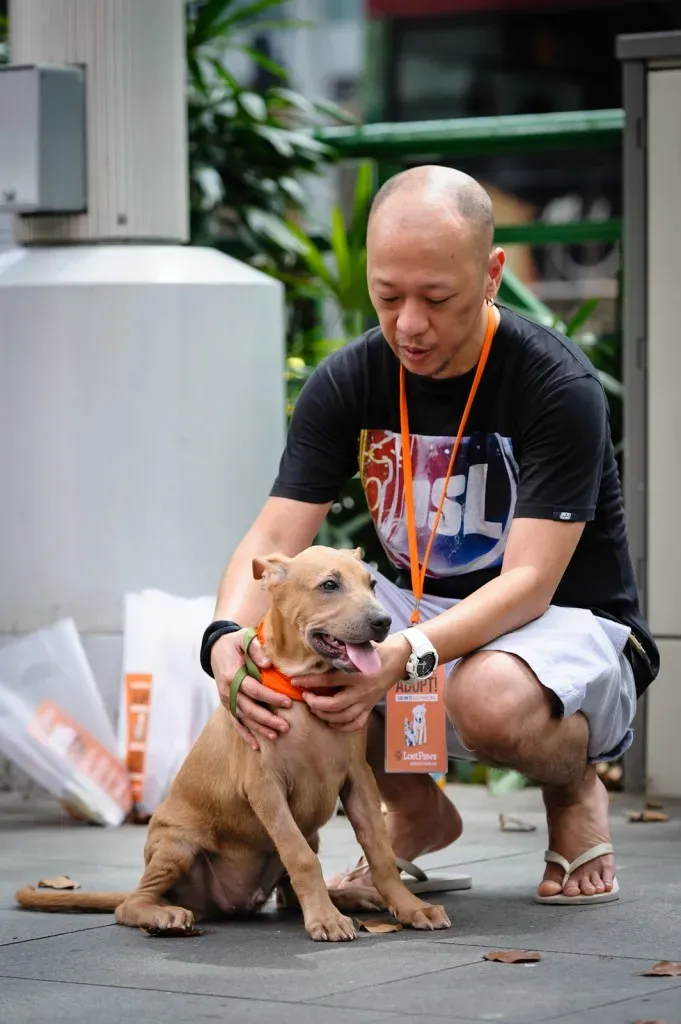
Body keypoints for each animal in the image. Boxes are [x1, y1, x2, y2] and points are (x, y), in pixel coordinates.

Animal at [14, 548, 450, 937]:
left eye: (371, 584)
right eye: (329, 585)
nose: (383, 622)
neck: (300, 687)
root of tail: (225, 903)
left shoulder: (358, 779)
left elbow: (379, 850)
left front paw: (411, 907)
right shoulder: (265, 787)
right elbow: (299, 856)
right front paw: (325, 921)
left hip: (308, 835)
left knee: (288, 897)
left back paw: (353, 897)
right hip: (175, 846)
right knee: (131, 904)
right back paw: (164, 915)